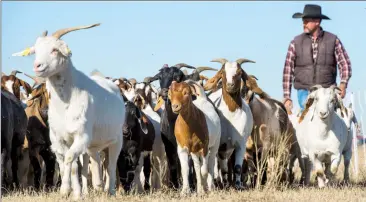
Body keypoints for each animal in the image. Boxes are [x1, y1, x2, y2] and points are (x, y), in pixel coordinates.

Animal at [12, 23, 125, 199]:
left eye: (54, 50)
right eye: (36, 51)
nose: (37, 66)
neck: (65, 103)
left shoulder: (81, 136)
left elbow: (69, 159)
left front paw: (66, 190)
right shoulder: (58, 138)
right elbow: (69, 164)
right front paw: (74, 193)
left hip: (116, 139)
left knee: (111, 165)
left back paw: (110, 191)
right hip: (93, 143)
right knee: (95, 160)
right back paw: (98, 186)